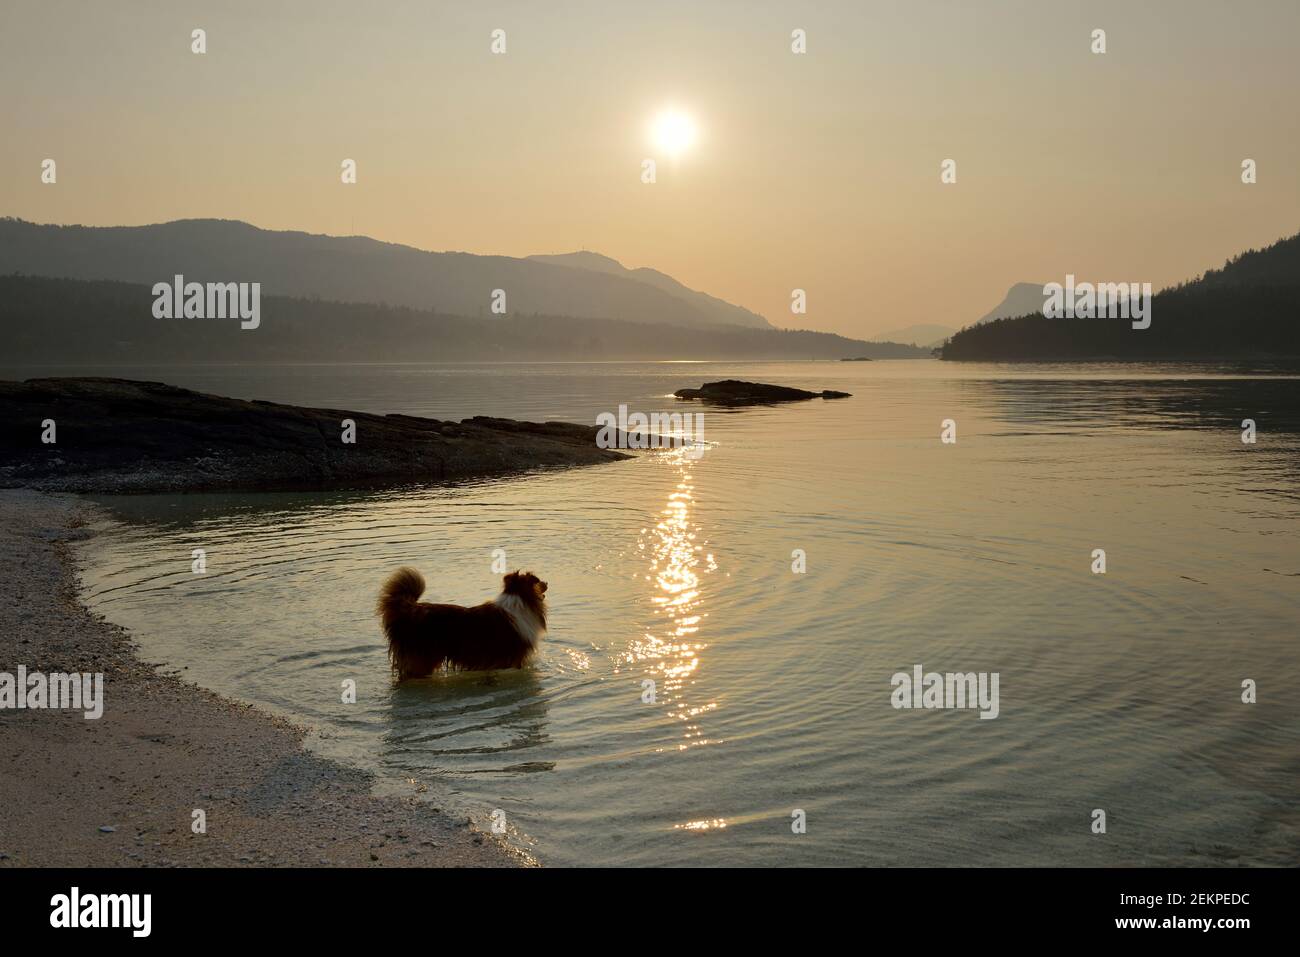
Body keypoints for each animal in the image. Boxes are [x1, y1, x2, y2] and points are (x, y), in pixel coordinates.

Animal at [374, 564, 546, 676]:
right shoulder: (513, 660)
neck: (520, 599)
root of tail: (408, 610)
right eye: (539, 581)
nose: (547, 583)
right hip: (421, 659)